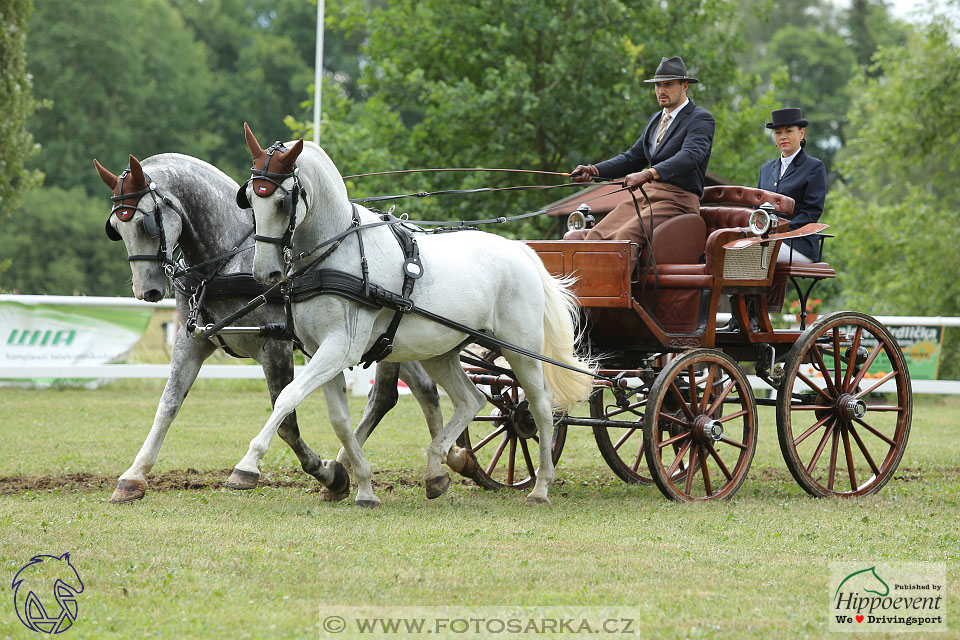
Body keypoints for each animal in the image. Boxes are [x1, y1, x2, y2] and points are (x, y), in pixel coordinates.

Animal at [94, 152, 446, 502]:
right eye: (116, 227)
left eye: (146, 224)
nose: (147, 291)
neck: (226, 261)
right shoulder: (192, 340)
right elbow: (168, 405)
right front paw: (133, 476)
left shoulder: (275, 344)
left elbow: (286, 419)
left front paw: (321, 473)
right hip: (393, 341)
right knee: (420, 390)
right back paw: (438, 466)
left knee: (386, 395)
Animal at [232, 125, 592, 504]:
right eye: (250, 198)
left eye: (282, 201)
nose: (264, 273)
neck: (336, 254)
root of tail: (520, 250)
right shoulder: (321, 351)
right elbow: (340, 421)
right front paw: (360, 484)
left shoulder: (340, 347)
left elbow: (288, 397)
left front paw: (248, 465)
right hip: (441, 352)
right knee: (471, 399)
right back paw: (436, 470)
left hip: (521, 350)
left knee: (540, 407)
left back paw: (541, 485)